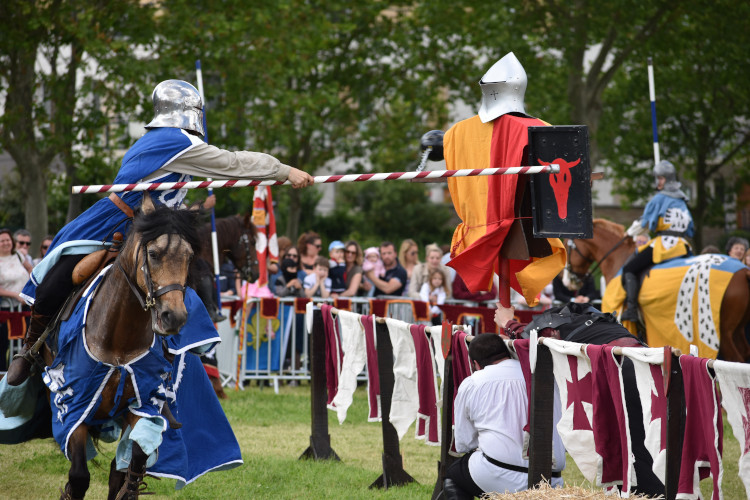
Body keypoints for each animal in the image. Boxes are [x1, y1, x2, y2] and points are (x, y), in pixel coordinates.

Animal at [47, 196, 203, 500]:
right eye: (153, 253)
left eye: (189, 257)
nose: (174, 317)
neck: (117, 340)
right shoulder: (73, 408)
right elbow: (79, 477)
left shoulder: (142, 403)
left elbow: (132, 469)